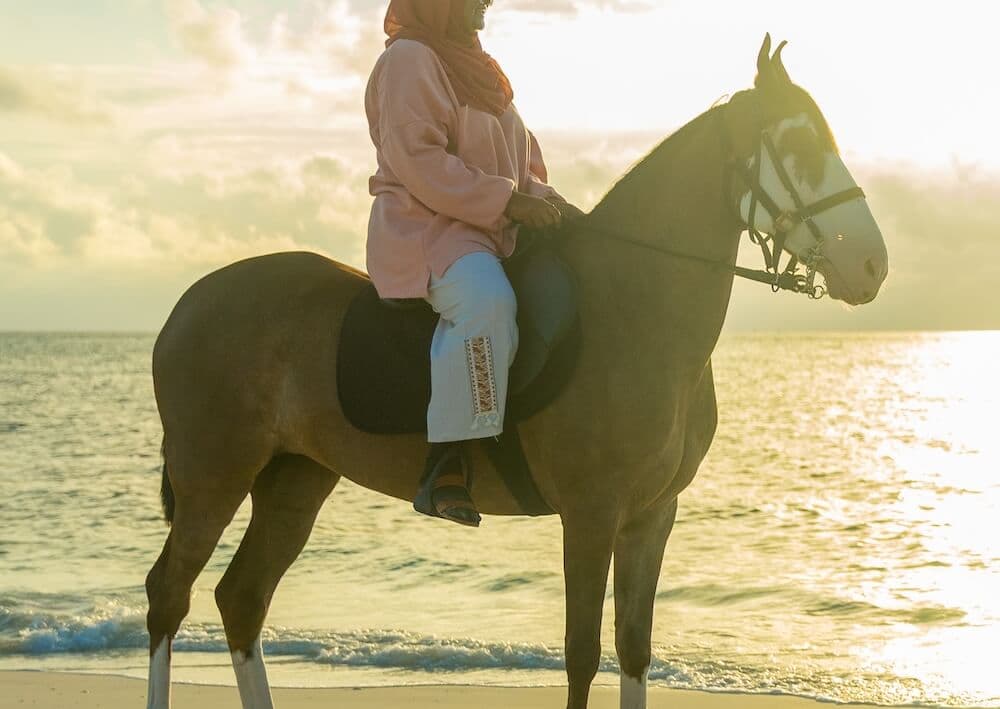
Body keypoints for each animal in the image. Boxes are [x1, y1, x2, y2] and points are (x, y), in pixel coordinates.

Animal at [144, 36, 888, 709]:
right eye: (800, 148)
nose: (873, 266)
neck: (637, 306)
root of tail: (189, 302)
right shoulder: (591, 514)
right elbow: (583, 653)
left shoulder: (652, 517)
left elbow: (634, 648)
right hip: (214, 475)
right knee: (167, 594)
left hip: (294, 479)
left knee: (242, 597)